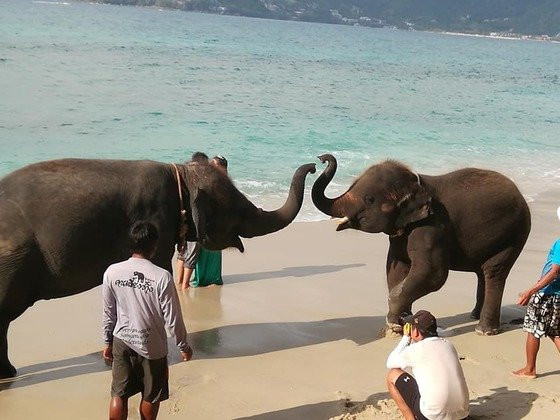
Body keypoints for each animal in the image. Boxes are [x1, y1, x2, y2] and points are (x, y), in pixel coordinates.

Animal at [312, 153, 532, 334]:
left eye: (369, 199)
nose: (320, 159)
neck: (417, 181)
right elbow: (397, 268)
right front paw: (402, 321)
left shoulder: (432, 227)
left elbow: (433, 274)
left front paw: (393, 324)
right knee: (482, 273)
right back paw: (474, 316)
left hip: (514, 234)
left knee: (494, 272)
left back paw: (484, 330)